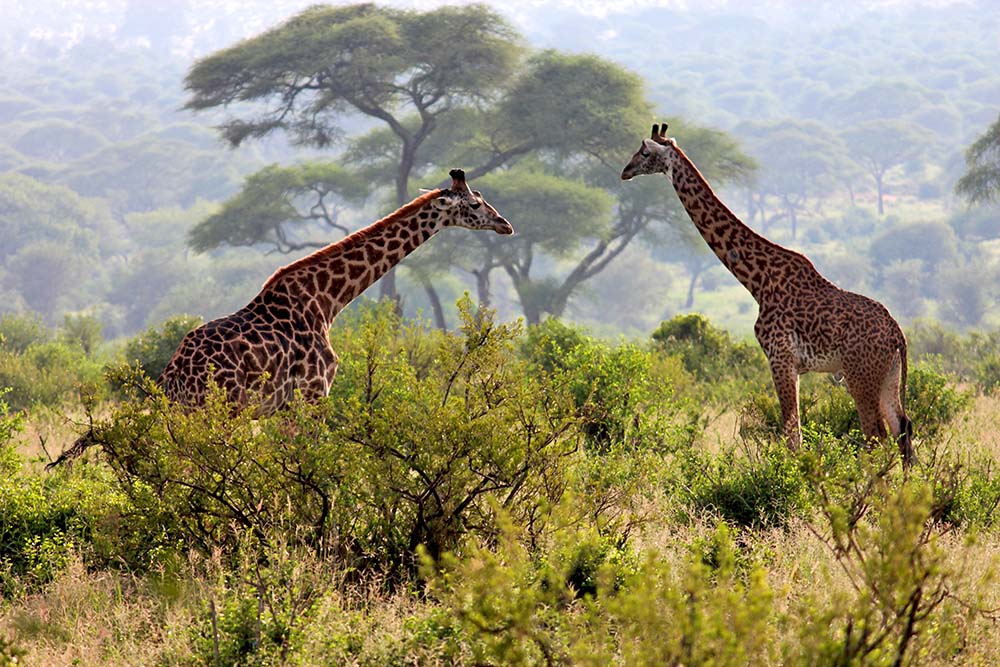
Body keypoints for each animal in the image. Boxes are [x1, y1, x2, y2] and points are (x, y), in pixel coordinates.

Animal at [154, 170, 516, 414]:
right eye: (475, 203)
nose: (505, 224)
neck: (327, 301)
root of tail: (174, 375)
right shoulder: (313, 393)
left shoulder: (286, 405)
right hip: (222, 409)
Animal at [624, 124, 916, 464]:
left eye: (645, 152)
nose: (625, 171)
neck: (758, 282)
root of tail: (897, 335)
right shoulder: (791, 364)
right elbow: (794, 434)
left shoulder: (780, 358)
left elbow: (792, 436)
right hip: (888, 375)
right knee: (902, 429)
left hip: (860, 375)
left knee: (876, 436)